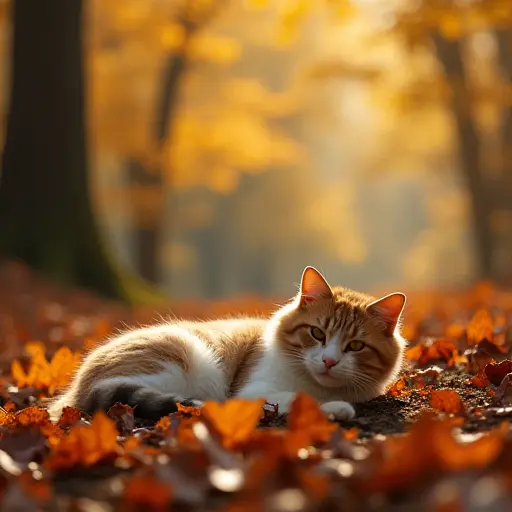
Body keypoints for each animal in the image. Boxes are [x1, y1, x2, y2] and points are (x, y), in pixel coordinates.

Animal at [48, 266, 408, 422]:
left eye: (355, 346)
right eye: (317, 334)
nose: (329, 361)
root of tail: (75, 387)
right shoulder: (253, 390)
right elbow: (299, 398)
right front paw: (334, 408)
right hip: (182, 358)